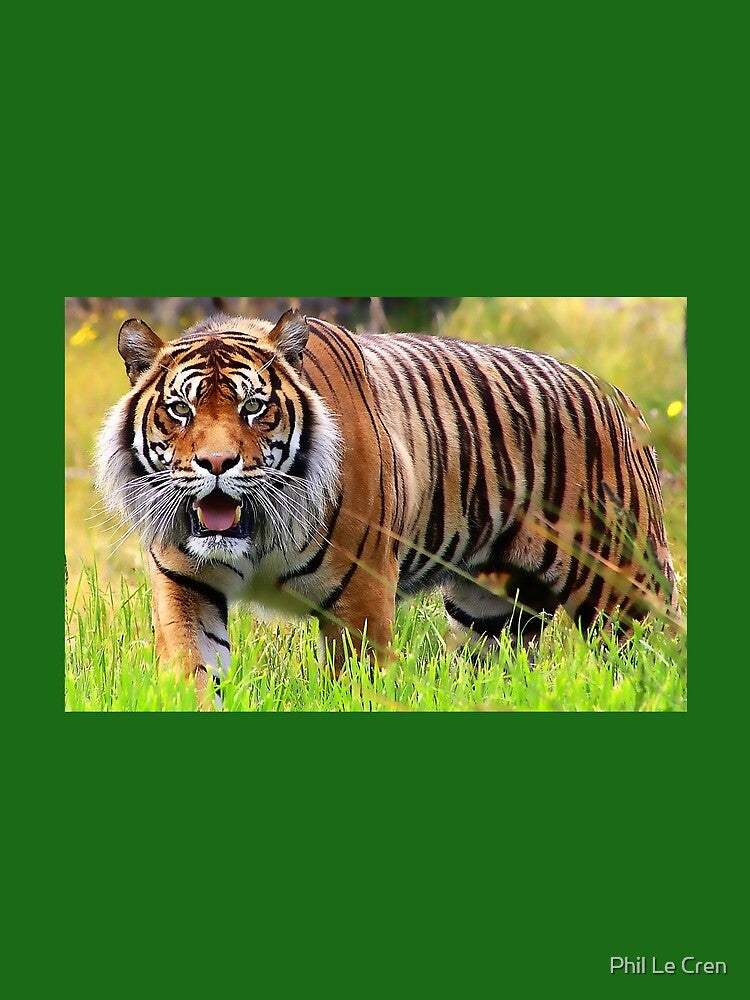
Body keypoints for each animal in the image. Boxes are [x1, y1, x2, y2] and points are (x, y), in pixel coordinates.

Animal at [95, 308, 679, 705]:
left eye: (254, 407)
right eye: (180, 410)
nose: (217, 463)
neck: (257, 532)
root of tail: (617, 397)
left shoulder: (361, 594)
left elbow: (355, 683)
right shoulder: (184, 586)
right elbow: (194, 672)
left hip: (624, 592)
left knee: (661, 653)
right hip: (490, 614)